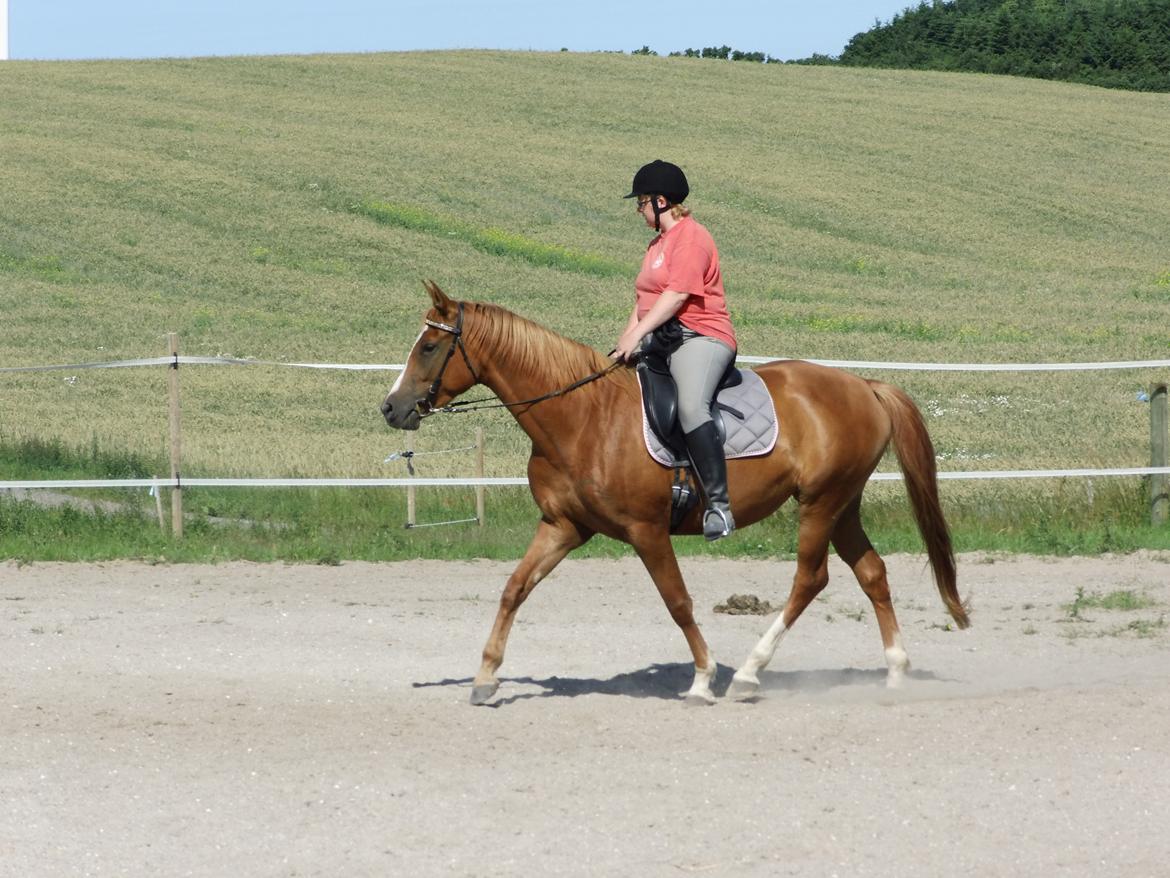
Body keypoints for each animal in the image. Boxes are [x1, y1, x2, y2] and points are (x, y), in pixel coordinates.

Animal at [379, 282, 964, 707]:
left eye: (429, 346)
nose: (390, 408)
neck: (581, 417)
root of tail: (864, 385)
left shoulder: (647, 531)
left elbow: (677, 601)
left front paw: (703, 679)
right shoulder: (563, 527)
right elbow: (513, 589)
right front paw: (485, 678)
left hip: (821, 504)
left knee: (810, 579)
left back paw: (748, 674)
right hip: (842, 504)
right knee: (872, 573)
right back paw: (894, 673)